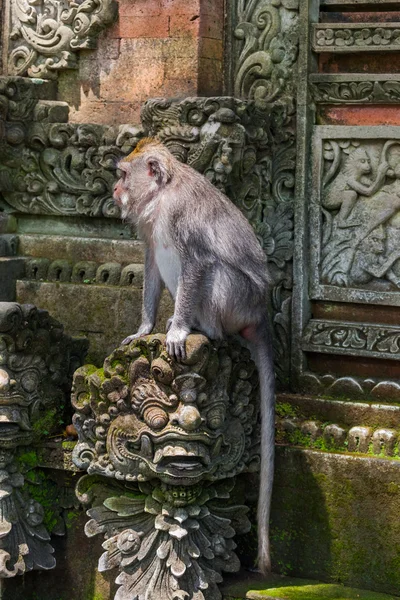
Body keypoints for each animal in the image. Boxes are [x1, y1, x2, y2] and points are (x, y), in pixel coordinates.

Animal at [112, 138, 276, 576]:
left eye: (123, 174)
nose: (115, 190)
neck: (162, 194)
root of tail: (260, 314)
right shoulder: (152, 226)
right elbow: (153, 261)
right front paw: (144, 328)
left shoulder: (180, 214)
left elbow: (198, 261)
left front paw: (178, 331)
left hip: (239, 302)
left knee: (213, 270)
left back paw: (201, 328)